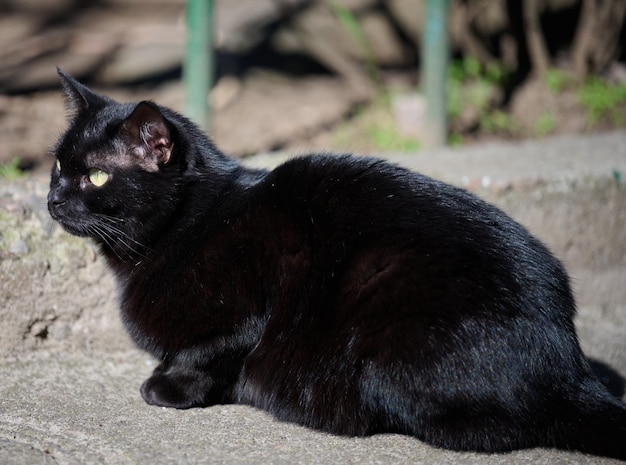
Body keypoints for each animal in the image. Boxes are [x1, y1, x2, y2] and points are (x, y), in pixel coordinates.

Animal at [48, 70, 624, 460]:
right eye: (57, 166)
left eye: (96, 177)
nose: (52, 200)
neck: (186, 227)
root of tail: (568, 364)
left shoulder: (252, 303)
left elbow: (207, 352)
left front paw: (168, 388)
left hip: (390, 319)